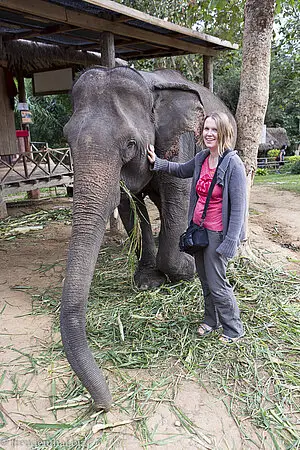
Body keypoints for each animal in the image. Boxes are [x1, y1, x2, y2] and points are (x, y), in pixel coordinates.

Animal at [60, 67, 234, 412]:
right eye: (67, 139)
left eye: (130, 144)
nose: (104, 404)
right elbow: (130, 207)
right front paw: (147, 282)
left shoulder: (180, 140)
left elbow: (178, 195)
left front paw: (185, 267)